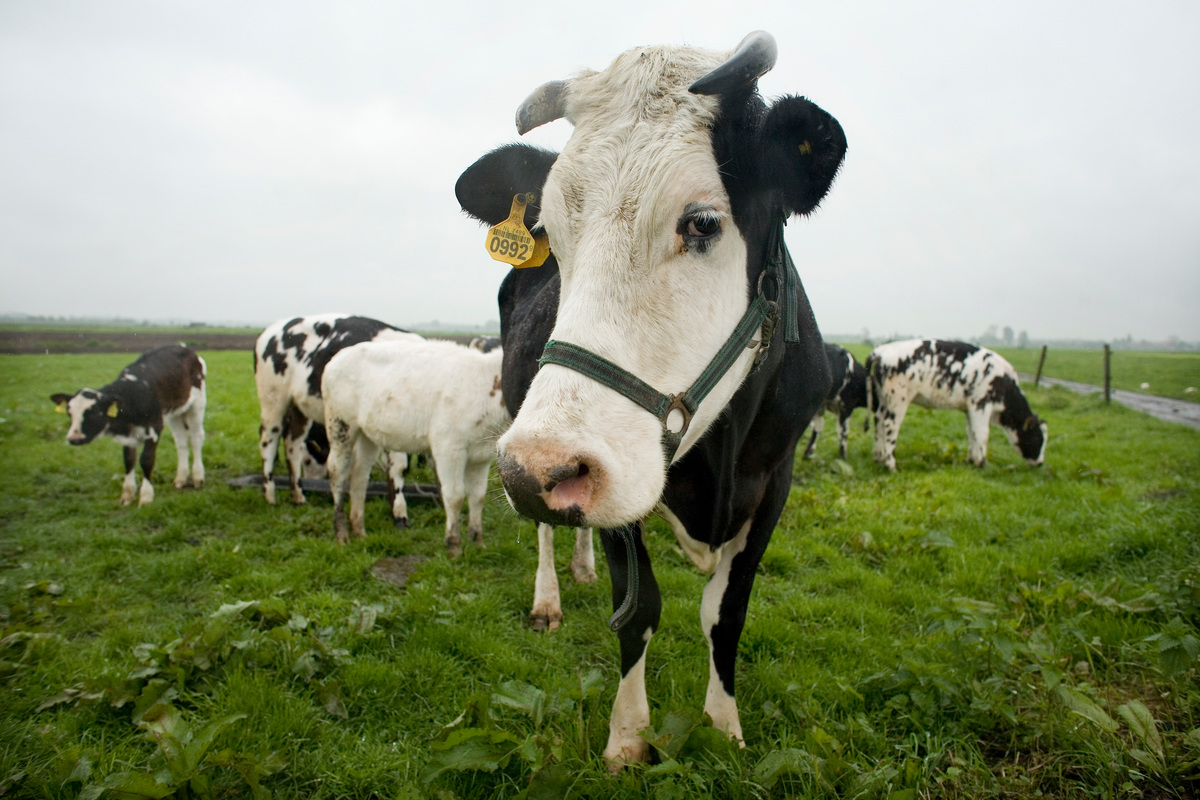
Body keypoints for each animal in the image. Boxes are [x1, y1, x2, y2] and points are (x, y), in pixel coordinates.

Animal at [51, 344, 206, 506]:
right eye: (69, 413)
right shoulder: (128, 434)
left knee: (196, 439)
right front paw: (127, 495)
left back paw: (198, 477)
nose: (74, 439)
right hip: (176, 410)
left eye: (94, 413)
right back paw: (180, 478)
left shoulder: (155, 427)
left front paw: (146, 496)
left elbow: (146, 460)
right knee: (181, 441)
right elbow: (129, 460)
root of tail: (184, 346)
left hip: (197, 403)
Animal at [253, 314, 421, 523]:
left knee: (292, 443)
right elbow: (397, 466)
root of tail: (271, 330)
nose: (313, 484)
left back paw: (298, 496)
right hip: (273, 400)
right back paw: (269, 494)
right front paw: (399, 512)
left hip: (298, 408)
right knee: (268, 441)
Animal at [321, 338, 510, 553]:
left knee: (359, 474)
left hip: (367, 435)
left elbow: (478, 497)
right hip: (340, 426)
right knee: (337, 472)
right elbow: (454, 496)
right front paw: (454, 545)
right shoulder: (448, 448)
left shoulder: (481, 456)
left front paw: (478, 542)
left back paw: (359, 530)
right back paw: (342, 533)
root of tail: (338, 357)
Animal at [455, 31, 845, 764]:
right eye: (553, 232)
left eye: (702, 223)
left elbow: (727, 612)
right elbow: (638, 610)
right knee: (547, 532)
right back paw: (550, 597)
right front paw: (628, 738)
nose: (535, 469)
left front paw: (724, 726)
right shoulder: (619, 472)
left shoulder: (776, 478)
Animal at [865, 338, 1047, 471]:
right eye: (1037, 437)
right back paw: (890, 463)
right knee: (890, 425)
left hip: (884, 400)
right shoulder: (980, 404)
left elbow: (972, 432)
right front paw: (982, 463)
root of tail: (880, 351)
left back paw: (878, 456)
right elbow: (982, 434)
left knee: (879, 420)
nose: (1040, 463)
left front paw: (972, 459)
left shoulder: (970, 409)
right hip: (897, 400)